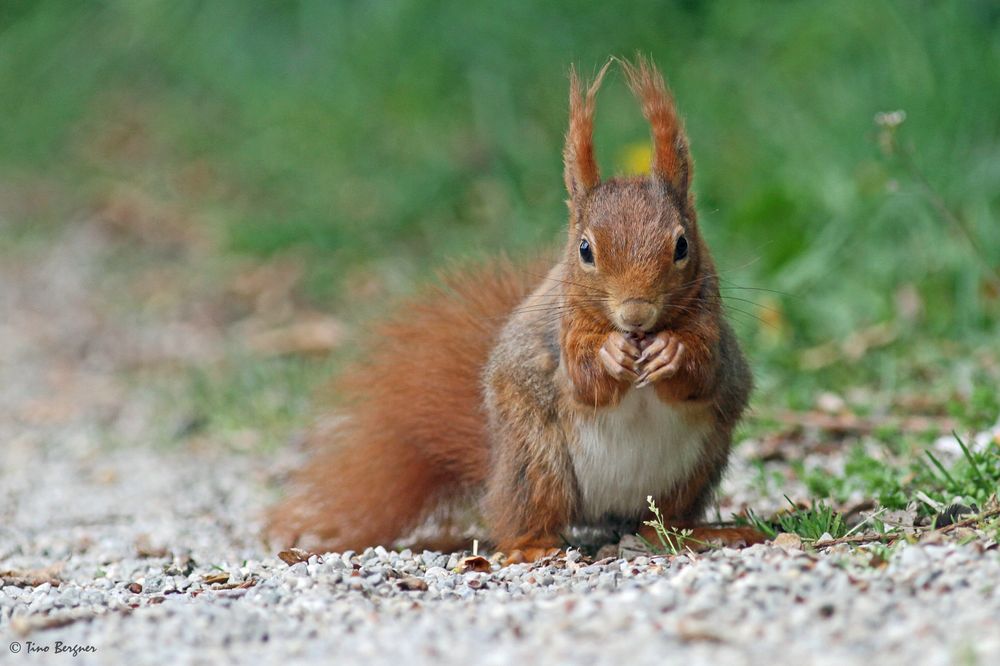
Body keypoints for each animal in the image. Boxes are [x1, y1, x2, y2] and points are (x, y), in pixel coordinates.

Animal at [266, 58, 756, 560]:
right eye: (585, 250)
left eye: (682, 245)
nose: (635, 315)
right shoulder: (563, 332)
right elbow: (583, 382)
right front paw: (609, 355)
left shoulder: (711, 326)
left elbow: (704, 373)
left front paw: (671, 352)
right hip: (536, 460)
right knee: (524, 517)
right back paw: (532, 546)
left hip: (696, 464)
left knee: (661, 524)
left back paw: (703, 534)